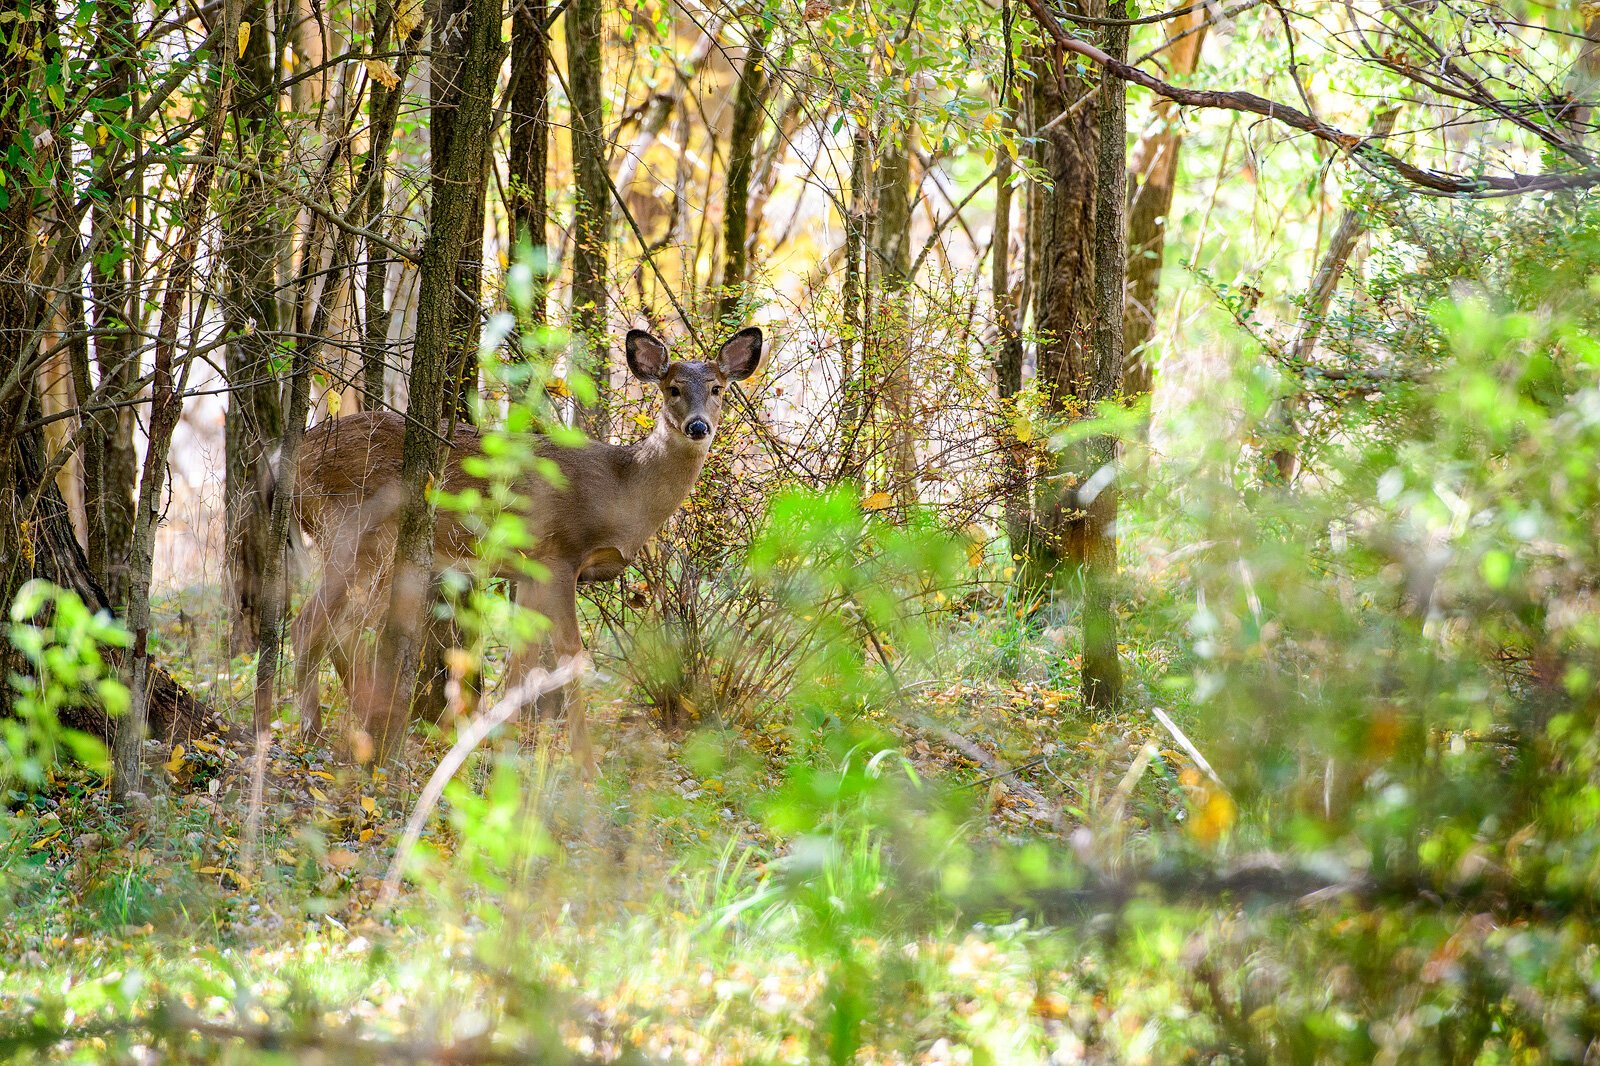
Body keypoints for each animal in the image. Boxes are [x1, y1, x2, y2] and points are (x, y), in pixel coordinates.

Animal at [286, 326, 761, 771]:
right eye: (673, 388)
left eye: (718, 389)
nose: (698, 426)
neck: (619, 494)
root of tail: (294, 460)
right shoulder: (560, 555)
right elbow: (570, 655)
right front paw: (585, 766)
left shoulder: (530, 568)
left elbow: (522, 662)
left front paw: (502, 752)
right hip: (352, 530)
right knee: (310, 622)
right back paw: (312, 733)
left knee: (339, 627)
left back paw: (358, 724)